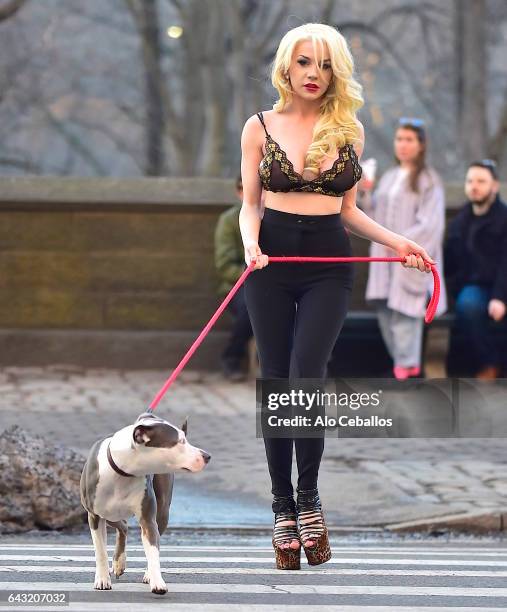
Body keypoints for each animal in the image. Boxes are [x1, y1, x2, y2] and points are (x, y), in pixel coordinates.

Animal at [80, 412, 211, 592]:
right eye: (180, 441)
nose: (207, 456)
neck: (123, 472)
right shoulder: (94, 516)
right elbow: (100, 550)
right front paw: (102, 579)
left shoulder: (148, 519)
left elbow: (153, 550)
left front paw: (157, 581)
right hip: (110, 514)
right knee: (123, 526)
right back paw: (118, 563)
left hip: (162, 512)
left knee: (132, 528)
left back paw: (135, 569)